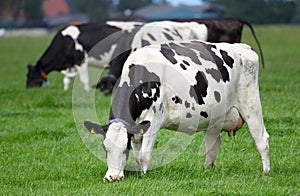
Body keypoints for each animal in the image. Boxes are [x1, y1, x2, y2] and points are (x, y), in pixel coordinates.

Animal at [83, 40, 270, 182]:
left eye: (124, 148)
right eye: (105, 148)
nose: (113, 177)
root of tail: (242, 47)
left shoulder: (153, 122)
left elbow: (144, 155)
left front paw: (143, 176)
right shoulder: (136, 127)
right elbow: (137, 156)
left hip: (251, 105)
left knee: (262, 140)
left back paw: (266, 171)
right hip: (214, 117)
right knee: (213, 145)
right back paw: (207, 170)